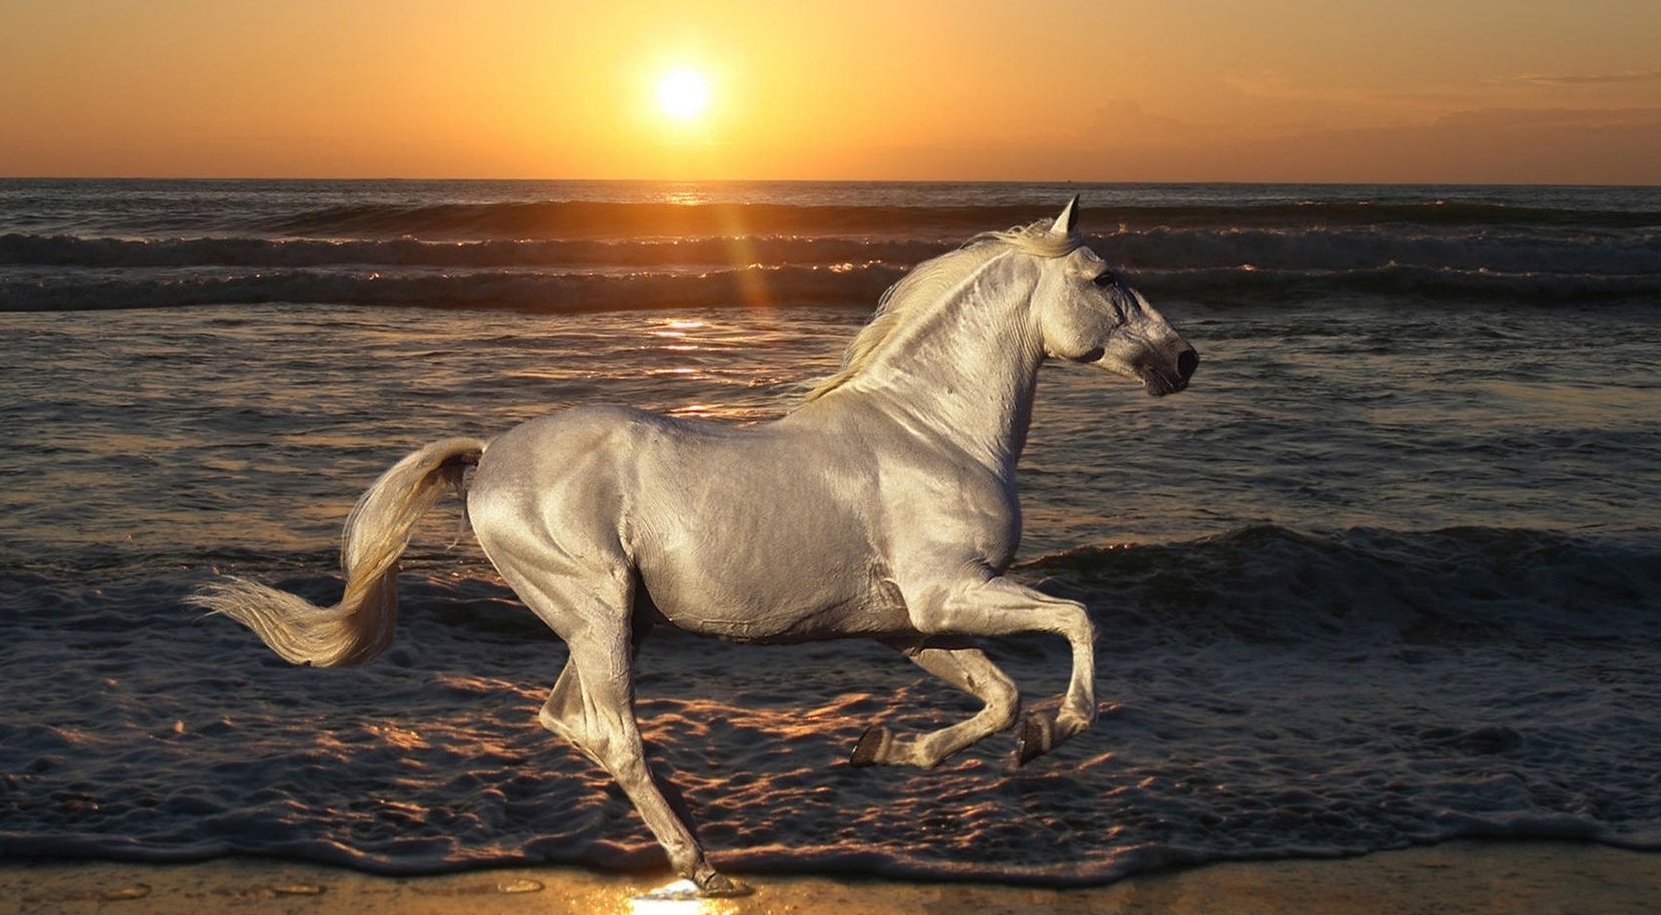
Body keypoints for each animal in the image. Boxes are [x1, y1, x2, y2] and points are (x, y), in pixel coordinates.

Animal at [189, 197, 1198, 897]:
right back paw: (702, 860)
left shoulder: (910, 623)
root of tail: (489, 456)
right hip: (596, 609)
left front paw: (882, 748)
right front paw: (1054, 732)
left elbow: (994, 699)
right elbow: (1076, 623)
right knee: (611, 732)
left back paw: (696, 834)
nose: (1183, 360)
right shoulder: (949, 593)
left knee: (572, 721)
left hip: (610, 622)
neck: (929, 430)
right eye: (1105, 278)